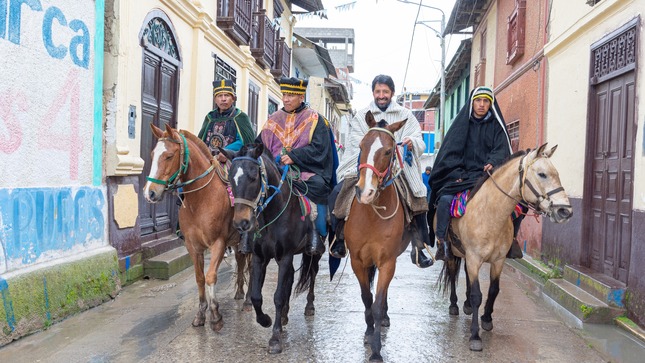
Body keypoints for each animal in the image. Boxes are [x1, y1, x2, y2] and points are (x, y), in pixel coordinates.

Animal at [143, 124, 252, 332]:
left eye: (169, 156)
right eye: (152, 154)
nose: (150, 193)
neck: (201, 200)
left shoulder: (218, 243)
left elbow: (210, 277)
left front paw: (216, 315)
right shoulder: (193, 247)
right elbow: (200, 278)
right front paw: (201, 314)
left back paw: (249, 300)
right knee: (241, 261)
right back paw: (239, 292)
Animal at [221, 144, 322, 354]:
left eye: (253, 177)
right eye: (231, 178)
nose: (241, 223)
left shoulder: (285, 256)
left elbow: (277, 296)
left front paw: (275, 338)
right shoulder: (261, 257)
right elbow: (256, 296)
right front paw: (265, 320)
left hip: (312, 253)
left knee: (312, 273)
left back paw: (309, 306)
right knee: (290, 279)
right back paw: (283, 315)